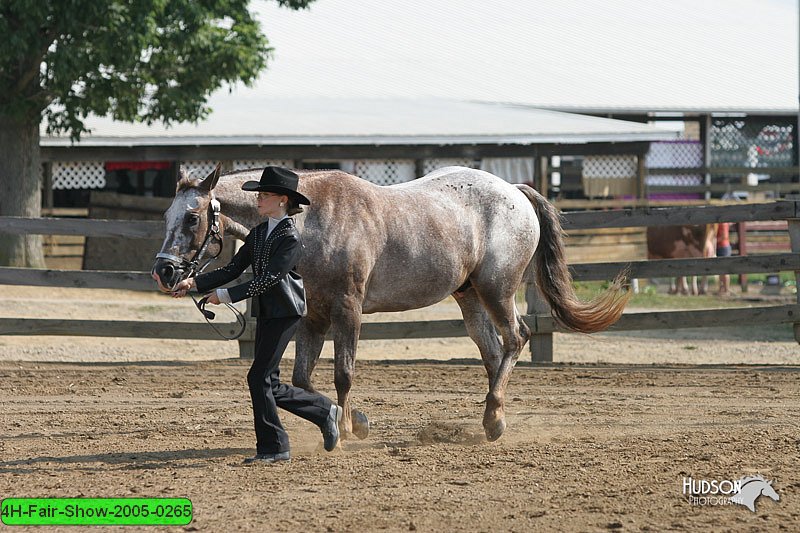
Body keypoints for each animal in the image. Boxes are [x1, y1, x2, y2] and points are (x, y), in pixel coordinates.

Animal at [152, 165, 632, 440]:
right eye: (166, 216)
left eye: (192, 217)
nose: (165, 272)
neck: (309, 220)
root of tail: (515, 191)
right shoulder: (313, 317)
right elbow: (303, 378)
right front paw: (355, 420)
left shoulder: (348, 309)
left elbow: (343, 374)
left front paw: (347, 428)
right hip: (469, 296)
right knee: (493, 351)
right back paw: (491, 420)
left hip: (497, 289)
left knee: (517, 339)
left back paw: (494, 418)